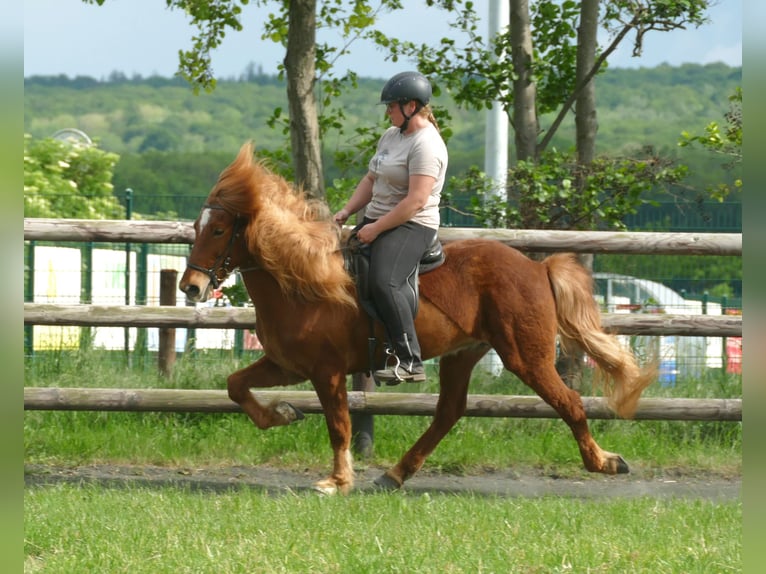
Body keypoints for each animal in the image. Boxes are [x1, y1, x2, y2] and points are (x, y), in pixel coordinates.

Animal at [178, 142, 656, 498]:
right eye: (198, 227)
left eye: (219, 230)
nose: (191, 287)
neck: (303, 281)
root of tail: (536, 268)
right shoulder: (288, 364)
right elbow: (236, 386)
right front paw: (282, 415)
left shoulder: (326, 371)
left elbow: (339, 425)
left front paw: (336, 481)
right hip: (463, 354)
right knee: (449, 412)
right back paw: (395, 474)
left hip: (526, 356)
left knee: (568, 402)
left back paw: (604, 462)